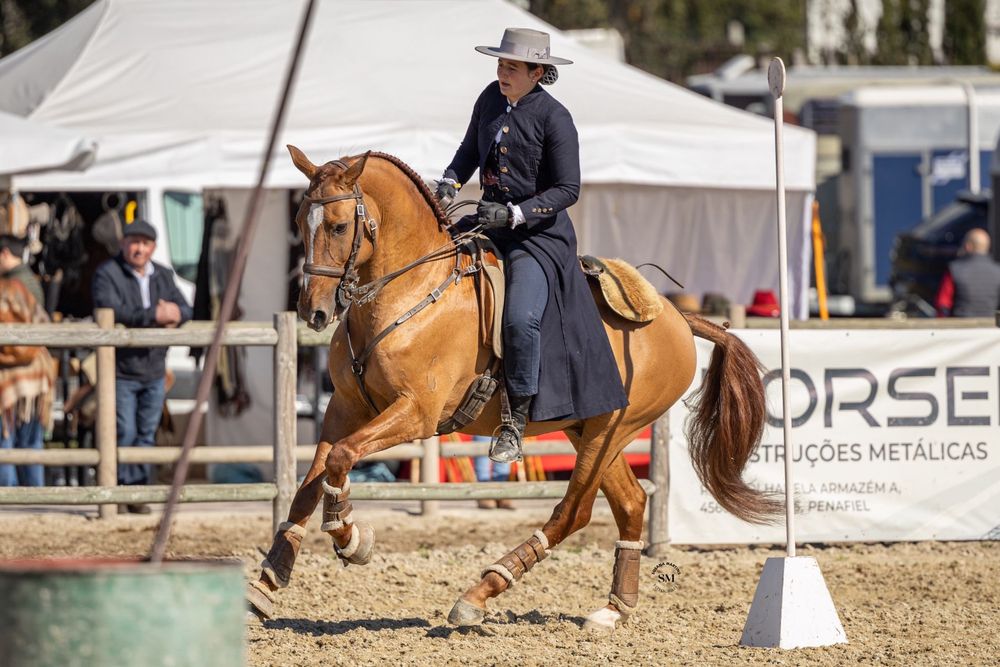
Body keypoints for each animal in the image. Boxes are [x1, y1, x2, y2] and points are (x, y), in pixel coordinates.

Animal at [245, 147, 781, 631]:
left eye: (338, 226)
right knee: (630, 502)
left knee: (573, 512)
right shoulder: (345, 408)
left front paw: (349, 536)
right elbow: (309, 481)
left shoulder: (414, 413)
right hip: (591, 430)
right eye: (300, 220)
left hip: (614, 430)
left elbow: (339, 461)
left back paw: (479, 593)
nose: (313, 312)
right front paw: (269, 580)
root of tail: (674, 317)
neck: (409, 292)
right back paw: (613, 610)